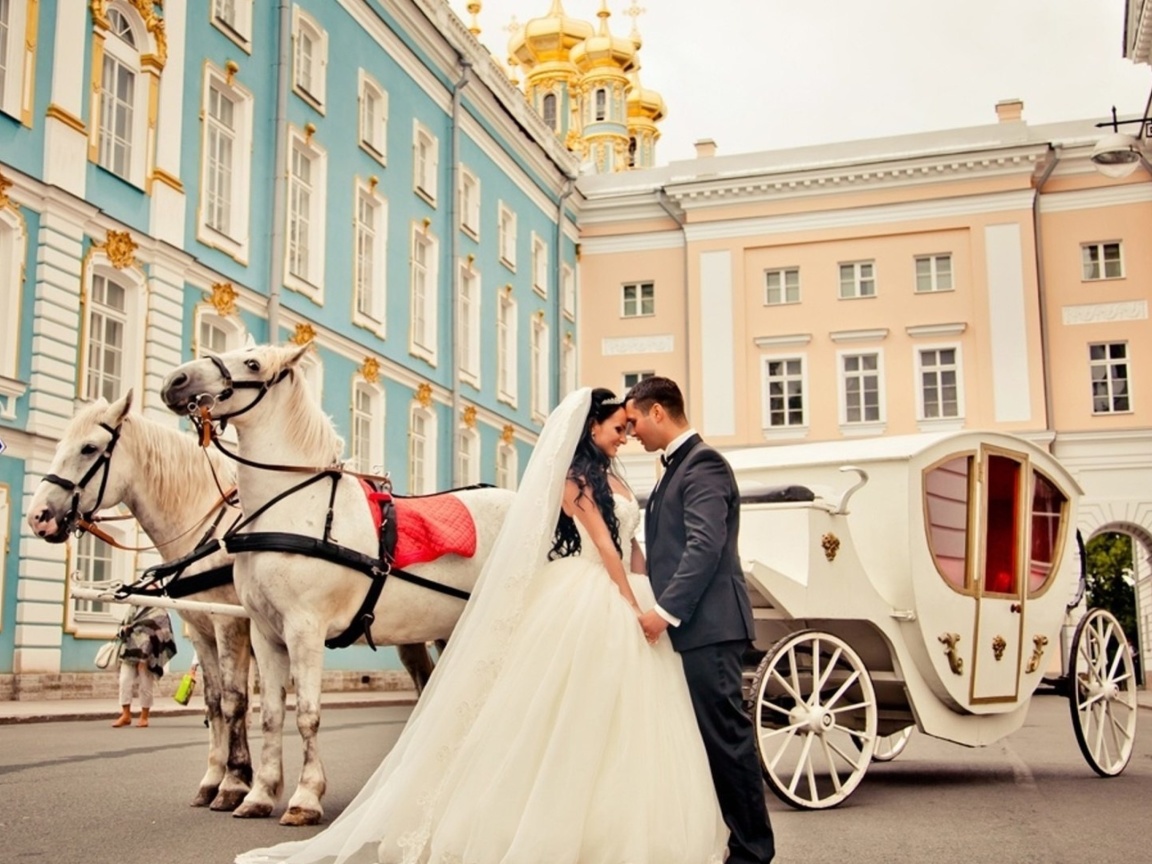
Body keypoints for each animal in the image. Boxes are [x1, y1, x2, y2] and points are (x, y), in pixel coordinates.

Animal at [25, 391, 256, 811]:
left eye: (89, 448)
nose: (38, 517)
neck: (212, 533)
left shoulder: (231, 624)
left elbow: (235, 701)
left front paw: (234, 784)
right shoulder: (202, 628)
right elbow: (214, 702)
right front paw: (214, 779)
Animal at [160, 343, 516, 824]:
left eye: (252, 363)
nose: (176, 380)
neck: (294, 506)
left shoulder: (304, 631)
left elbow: (307, 714)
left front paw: (305, 797)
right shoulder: (265, 634)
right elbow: (271, 714)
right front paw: (260, 793)